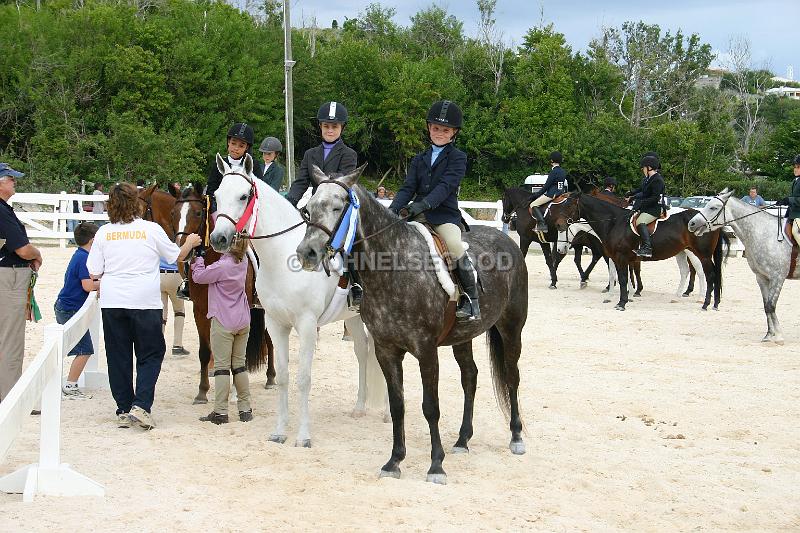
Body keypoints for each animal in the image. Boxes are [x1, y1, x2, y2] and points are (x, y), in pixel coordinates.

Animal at [173, 184, 276, 400]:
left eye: (197, 213)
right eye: (173, 213)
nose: (183, 250)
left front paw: (235, 391)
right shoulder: (200, 310)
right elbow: (205, 351)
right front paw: (202, 391)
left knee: (270, 340)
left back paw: (271, 377)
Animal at [205, 154, 382, 444]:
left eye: (243, 196)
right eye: (217, 196)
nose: (219, 239)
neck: (281, 257)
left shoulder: (307, 325)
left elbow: (303, 379)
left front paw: (303, 436)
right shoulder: (276, 324)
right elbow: (284, 376)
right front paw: (279, 432)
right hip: (354, 317)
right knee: (362, 351)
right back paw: (359, 407)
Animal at [296, 164, 528, 484]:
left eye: (338, 206)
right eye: (307, 209)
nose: (307, 253)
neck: (394, 267)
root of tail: (507, 240)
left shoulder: (426, 351)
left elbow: (430, 407)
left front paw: (436, 466)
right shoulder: (386, 350)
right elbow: (398, 405)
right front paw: (394, 461)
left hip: (511, 328)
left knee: (512, 376)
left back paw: (516, 437)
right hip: (463, 337)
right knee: (470, 377)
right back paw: (462, 440)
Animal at [552, 192, 724, 310]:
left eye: (568, 205)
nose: (560, 248)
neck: (614, 223)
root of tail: (707, 219)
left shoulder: (620, 257)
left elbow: (622, 278)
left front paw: (622, 302)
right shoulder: (617, 257)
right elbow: (621, 276)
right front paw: (621, 295)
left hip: (701, 254)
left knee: (706, 274)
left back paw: (704, 302)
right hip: (682, 252)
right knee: (687, 271)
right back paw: (685, 298)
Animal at [688, 189, 792, 342]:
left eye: (713, 207)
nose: (692, 223)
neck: (765, 234)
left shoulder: (777, 277)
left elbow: (771, 305)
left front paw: (778, 336)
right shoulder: (762, 277)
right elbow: (766, 306)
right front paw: (769, 334)